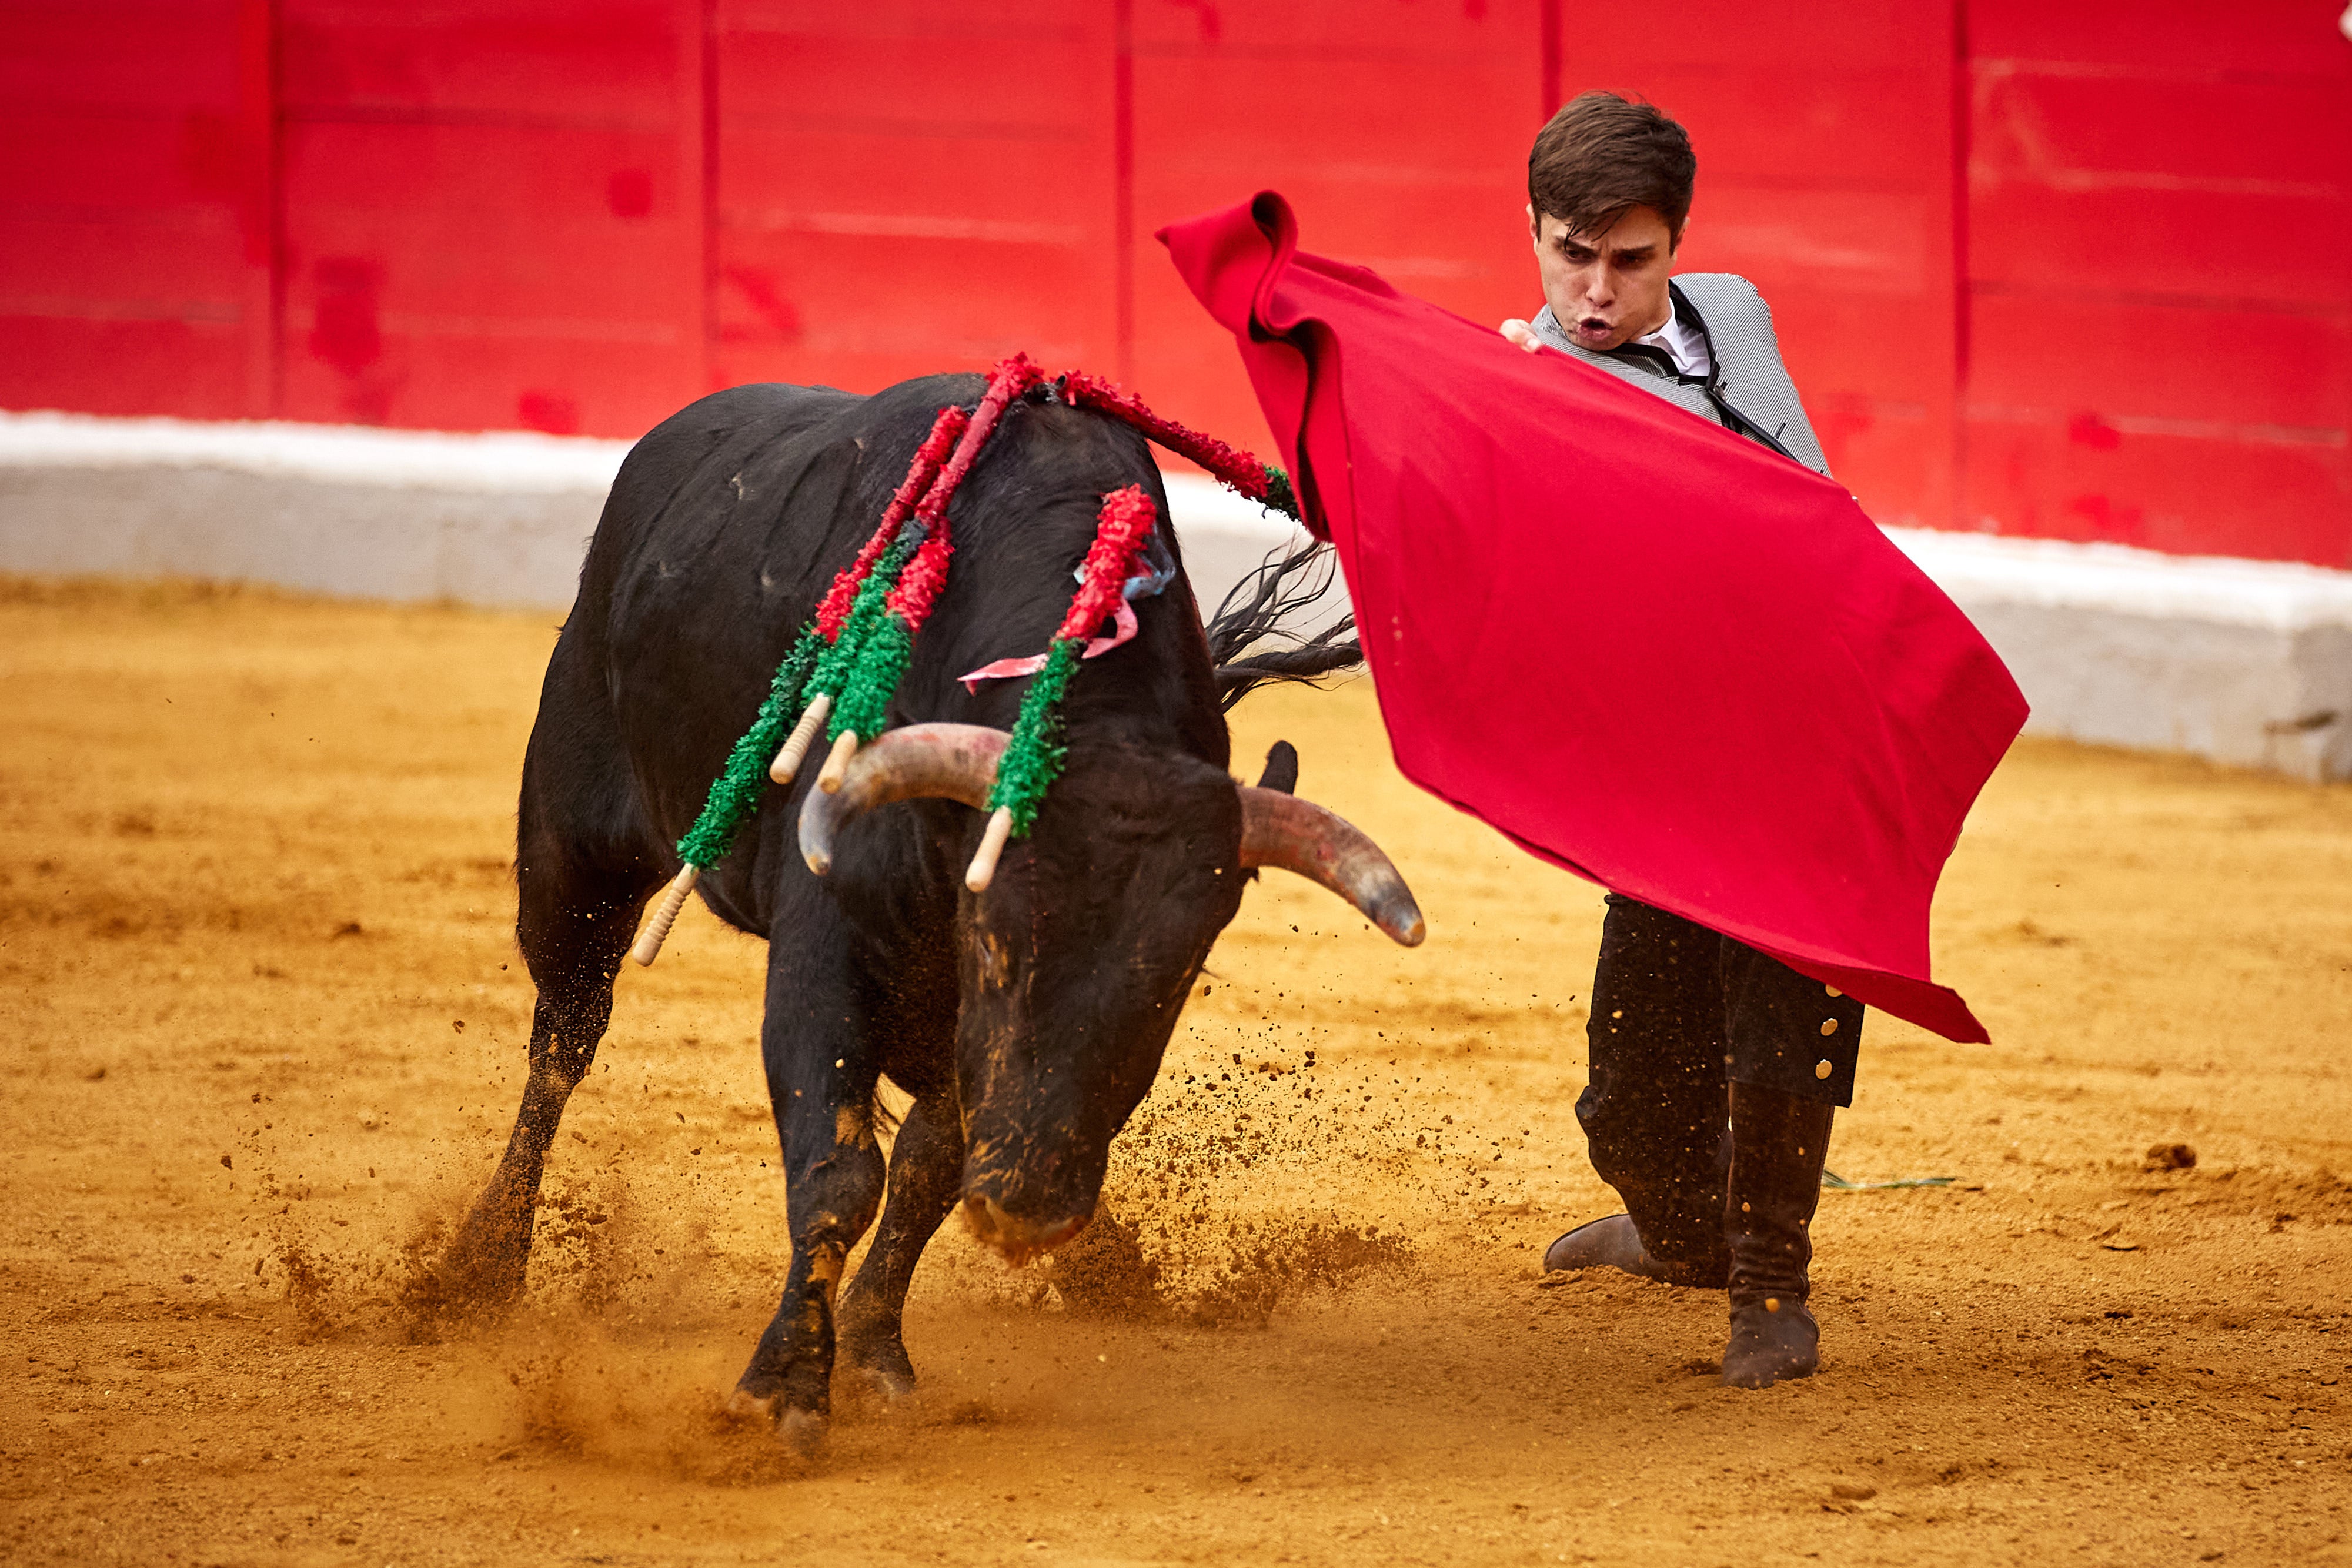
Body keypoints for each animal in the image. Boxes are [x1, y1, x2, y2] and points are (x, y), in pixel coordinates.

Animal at [442, 373, 1430, 1457]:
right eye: (994, 941)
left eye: (1177, 978)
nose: (1032, 1209)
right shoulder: (824, 949)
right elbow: (840, 1170)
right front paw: (784, 1390)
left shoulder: (971, 1045)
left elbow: (926, 1168)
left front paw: (874, 1349)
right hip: (573, 853)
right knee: (563, 1041)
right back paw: (476, 1269)